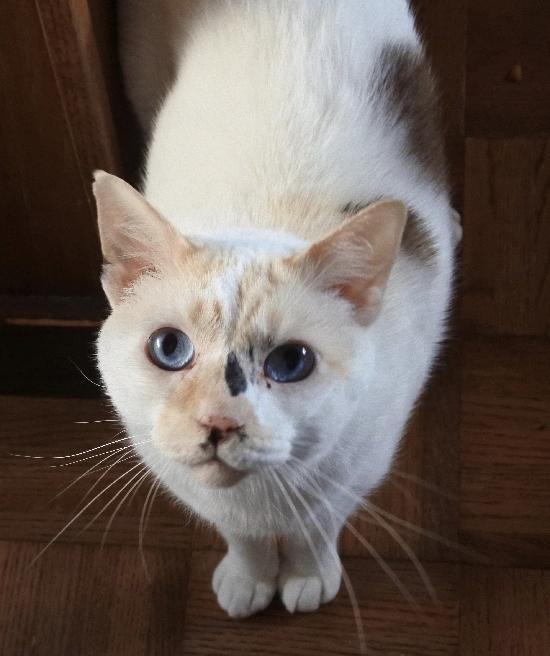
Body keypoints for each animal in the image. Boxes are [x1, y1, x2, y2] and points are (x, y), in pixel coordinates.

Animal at [96, 0, 462, 616]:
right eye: (169, 349)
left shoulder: (352, 472)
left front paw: (308, 576)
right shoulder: (201, 490)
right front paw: (250, 578)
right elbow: (241, 535)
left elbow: (316, 526)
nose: (218, 422)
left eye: (291, 362)